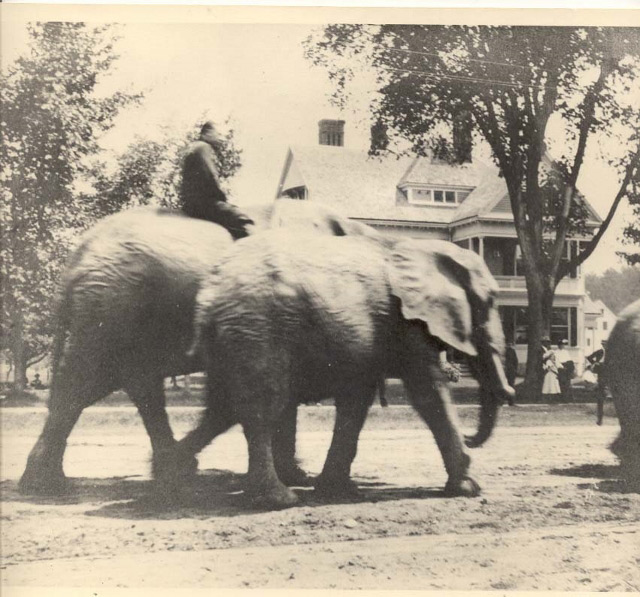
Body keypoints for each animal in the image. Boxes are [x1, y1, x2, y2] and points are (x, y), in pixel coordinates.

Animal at [20, 200, 370, 494]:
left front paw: (297, 477)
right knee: (85, 382)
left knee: (125, 384)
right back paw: (46, 484)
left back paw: (170, 472)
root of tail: (78, 255)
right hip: (110, 309)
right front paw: (298, 479)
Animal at [175, 229, 516, 508]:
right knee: (262, 409)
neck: (423, 248)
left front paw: (337, 491)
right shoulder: (409, 322)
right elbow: (427, 392)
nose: (471, 437)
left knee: (221, 409)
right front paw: (468, 488)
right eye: (489, 301)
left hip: (234, 338)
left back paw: (172, 475)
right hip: (258, 330)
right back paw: (277, 500)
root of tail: (210, 292)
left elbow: (356, 401)